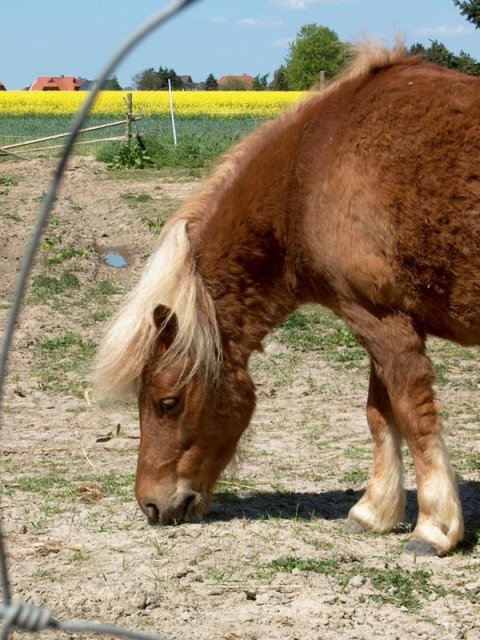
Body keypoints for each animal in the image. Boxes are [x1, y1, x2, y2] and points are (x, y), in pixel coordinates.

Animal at [94, 43, 480, 557]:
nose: (151, 507)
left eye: (168, 402)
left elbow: (412, 415)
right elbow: (380, 414)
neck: (311, 172)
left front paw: (434, 528)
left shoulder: (383, 322)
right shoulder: (372, 320)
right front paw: (374, 511)